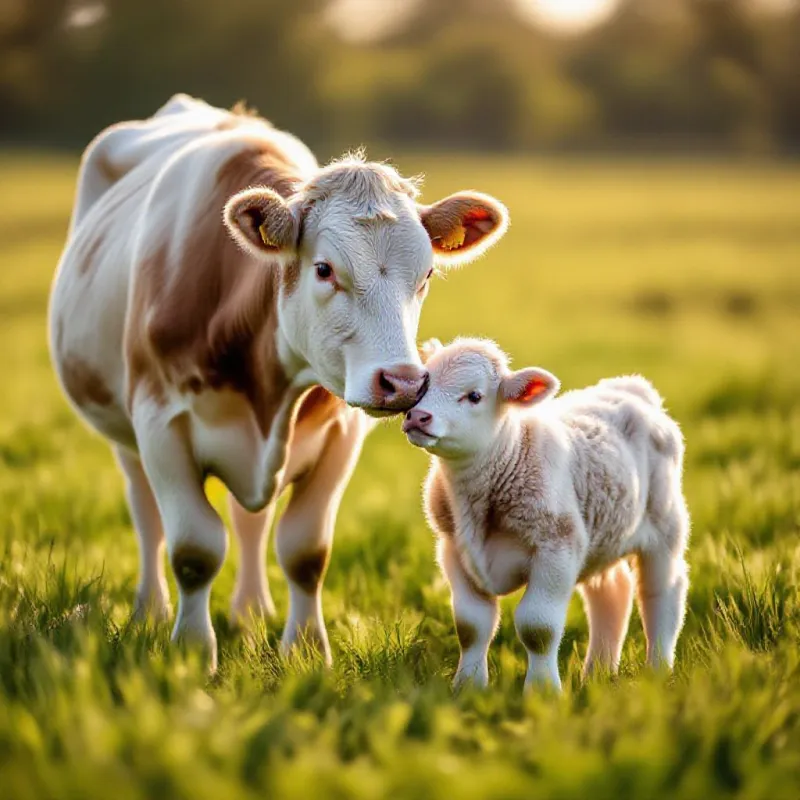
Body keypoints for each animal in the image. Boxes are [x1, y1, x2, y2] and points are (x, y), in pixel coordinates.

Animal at [48, 95, 509, 670]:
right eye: (324, 270)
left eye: (425, 275)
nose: (403, 383)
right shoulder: (159, 424)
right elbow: (194, 550)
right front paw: (192, 654)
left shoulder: (340, 436)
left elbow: (304, 551)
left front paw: (306, 649)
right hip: (123, 434)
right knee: (146, 513)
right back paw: (149, 611)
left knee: (252, 520)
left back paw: (251, 612)